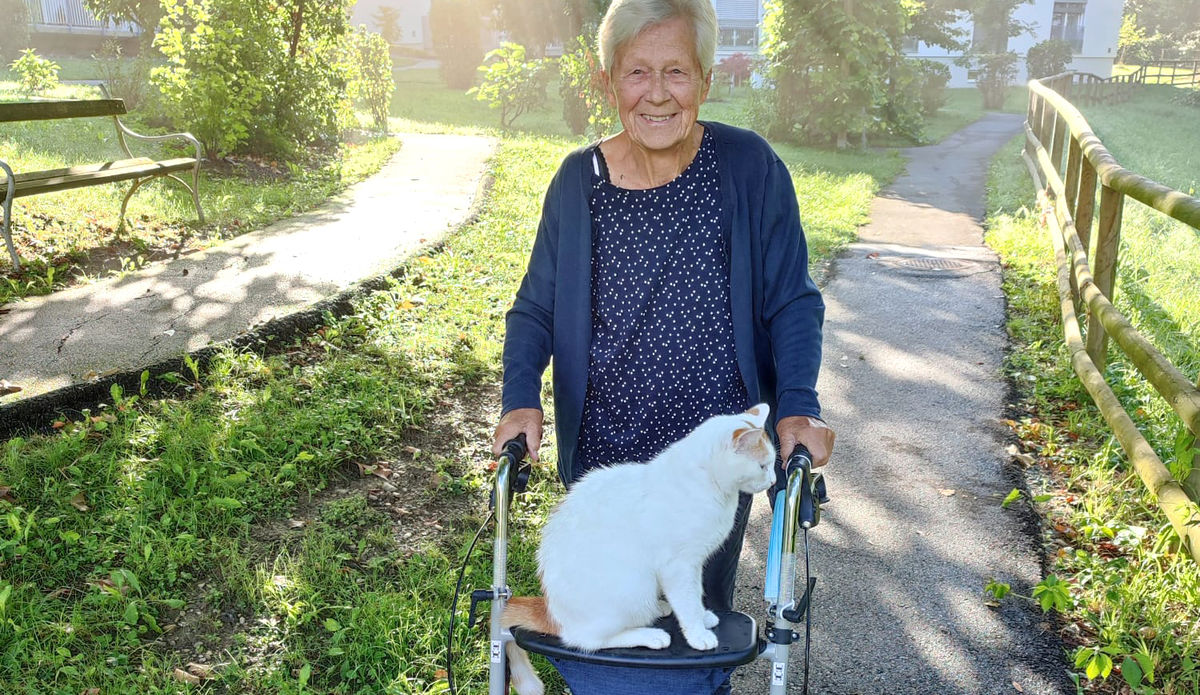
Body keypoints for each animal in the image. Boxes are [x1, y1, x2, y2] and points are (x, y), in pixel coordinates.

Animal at [500, 404, 778, 695]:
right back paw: (650, 635)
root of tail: (551, 612)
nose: (773, 481)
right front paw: (698, 633)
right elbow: (688, 602)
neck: (710, 487)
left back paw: (659, 609)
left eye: (771, 464)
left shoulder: (694, 564)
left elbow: (696, 595)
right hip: (632, 589)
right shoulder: (679, 566)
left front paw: (703, 617)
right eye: (762, 466)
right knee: (585, 641)